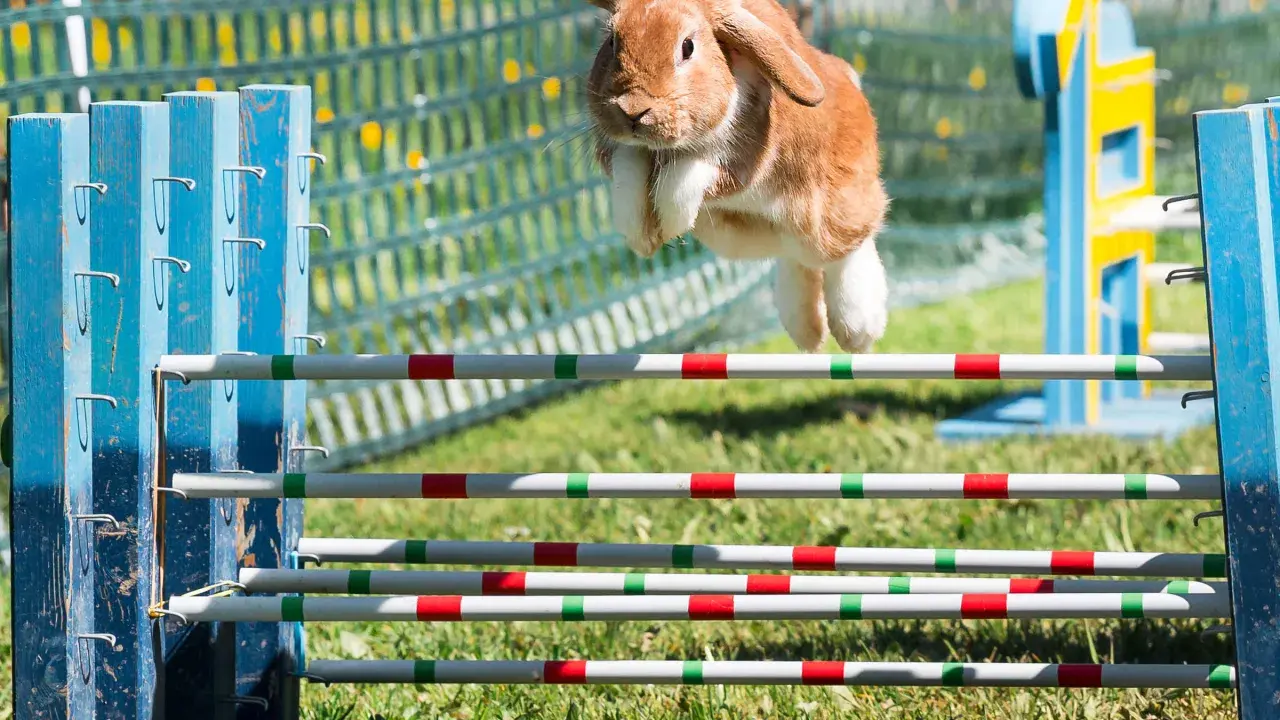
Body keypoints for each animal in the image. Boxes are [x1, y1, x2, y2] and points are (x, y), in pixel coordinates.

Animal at [585, 0, 889, 353]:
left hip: (834, 216)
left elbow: (685, 177)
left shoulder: (739, 166)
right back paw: (808, 333)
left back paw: (857, 329)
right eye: (612, 41)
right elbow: (628, 174)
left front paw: (670, 223)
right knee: (799, 263)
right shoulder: (624, 153)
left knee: (849, 247)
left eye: (687, 47)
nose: (633, 110)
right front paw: (642, 237)